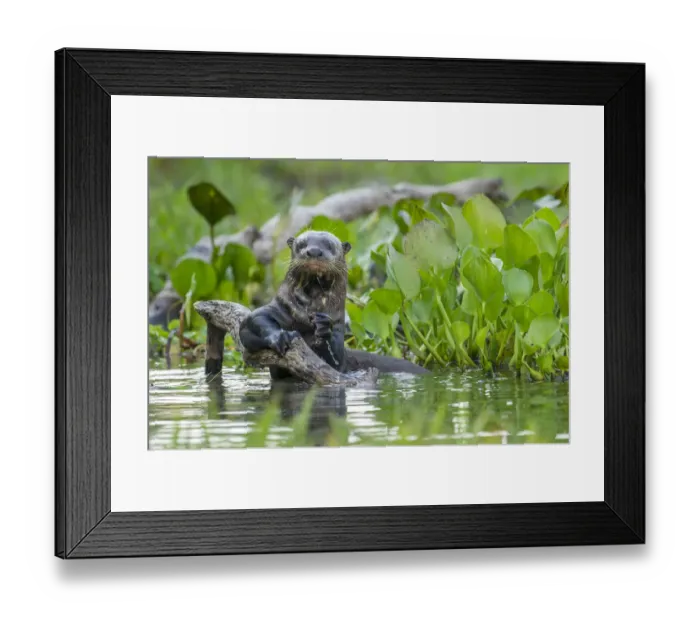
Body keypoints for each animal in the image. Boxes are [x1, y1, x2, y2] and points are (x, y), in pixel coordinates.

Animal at [239, 230, 428, 380]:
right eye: (302, 244)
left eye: (329, 245)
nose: (314, 251)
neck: (308, 311)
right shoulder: (279, 307)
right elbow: (254, 319)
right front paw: (280, 336)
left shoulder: (338, 329)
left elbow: (334, 360)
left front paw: (323, 326)